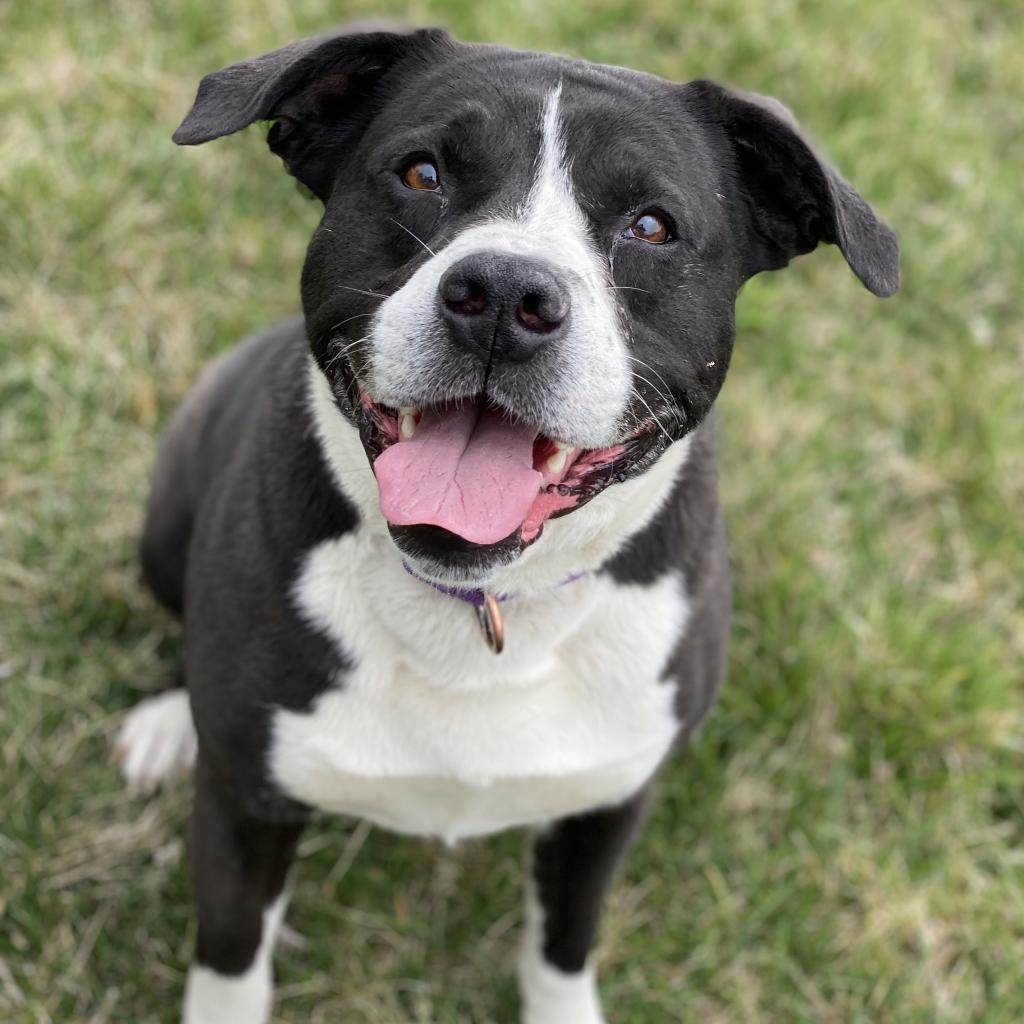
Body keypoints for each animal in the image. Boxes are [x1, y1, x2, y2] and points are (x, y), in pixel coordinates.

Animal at [117, 22, 897, 1024]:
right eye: (420, 173)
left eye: (652, 226)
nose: (503, 293)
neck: (486, 600)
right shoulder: (244, 806)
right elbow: (229, 962)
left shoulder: (609, 805)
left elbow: (564, 944)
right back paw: (168, 724)